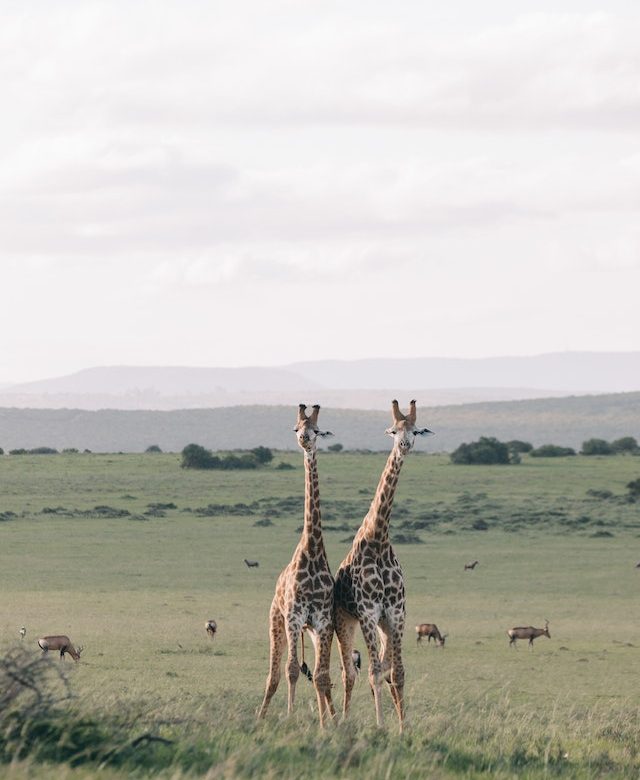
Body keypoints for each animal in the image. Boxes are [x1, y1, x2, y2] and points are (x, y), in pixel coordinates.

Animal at [333, 400, 433, 730]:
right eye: (393, 431)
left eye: (415, 431)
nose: (404, 446)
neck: (378, 538)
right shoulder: (366, 612)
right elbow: (375, 673)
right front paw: (380, 725)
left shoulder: (396, 613)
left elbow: (396, 673)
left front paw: (403, 728)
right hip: (344, 622)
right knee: (348, 672)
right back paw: (345, 719)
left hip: (383, 626)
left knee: (381, 667)